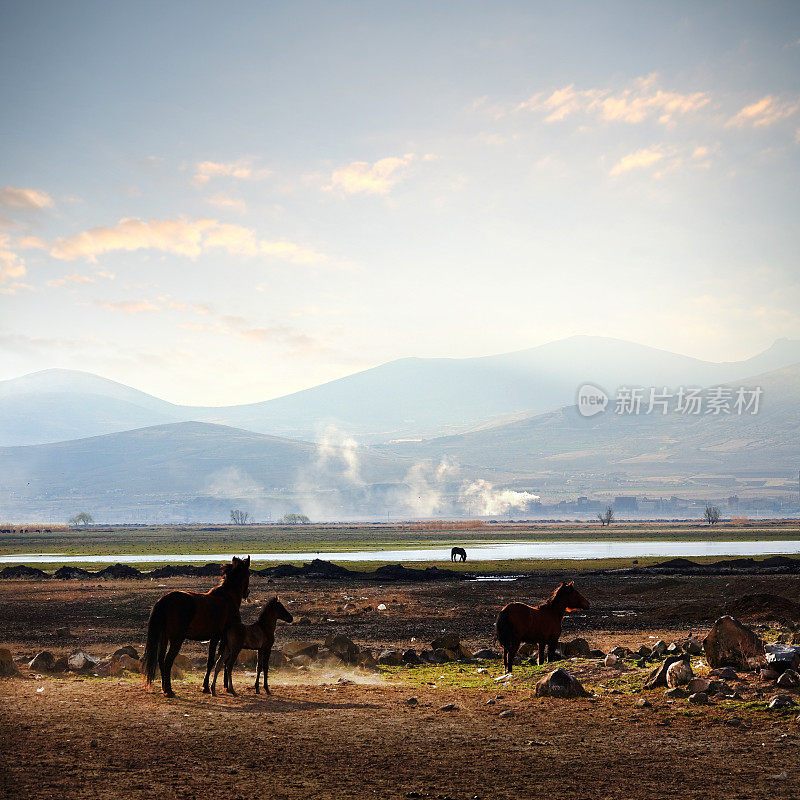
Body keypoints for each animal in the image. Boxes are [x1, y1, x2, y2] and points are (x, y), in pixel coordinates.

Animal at [142, 552, 250, 696]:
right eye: (248, 573)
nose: (246, 593)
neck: (227, 599)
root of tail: (164, 600)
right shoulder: (219, 638)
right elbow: (215, 662)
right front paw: (209, 687)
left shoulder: (219, 638)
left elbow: (219, 661)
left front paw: (221, 686)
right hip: (176, 639)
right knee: (168, 661)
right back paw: (169, 690)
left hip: (164, 638)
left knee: (161, 660)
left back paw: (165, 688)